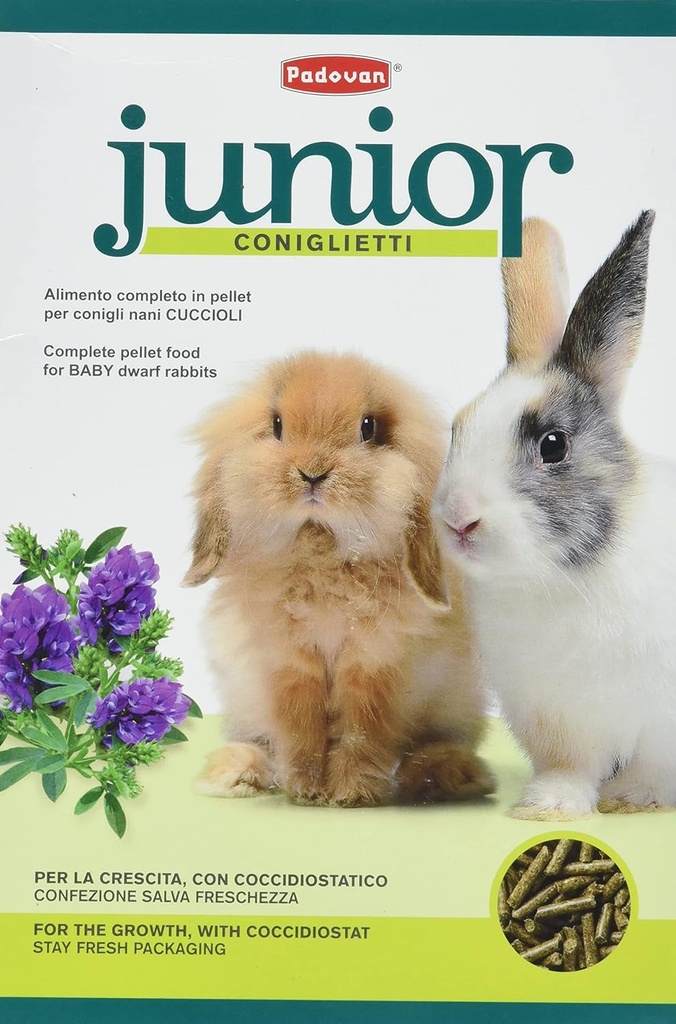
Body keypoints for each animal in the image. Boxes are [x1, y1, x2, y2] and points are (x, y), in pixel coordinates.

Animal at [184, 350, 494, 807]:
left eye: (368, 428)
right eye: (277, 425)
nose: (313, 473)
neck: (322, 547)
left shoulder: (373, 662)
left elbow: (362, 730)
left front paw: (352, 793)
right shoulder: (290, 662)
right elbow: (301, 728)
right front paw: (307, 790)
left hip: (455, 705)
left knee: (434, 745)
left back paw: (449, 775)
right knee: (257, 742)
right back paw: (234, 775)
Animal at [434, 210, 676, 820]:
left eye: (553, 444)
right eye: (458, 428)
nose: (459, 518)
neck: (562, 577)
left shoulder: (661, 718)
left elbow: (657, 766)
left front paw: (635, 797)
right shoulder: (557, 715)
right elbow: (570, 766)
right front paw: (547, 808)